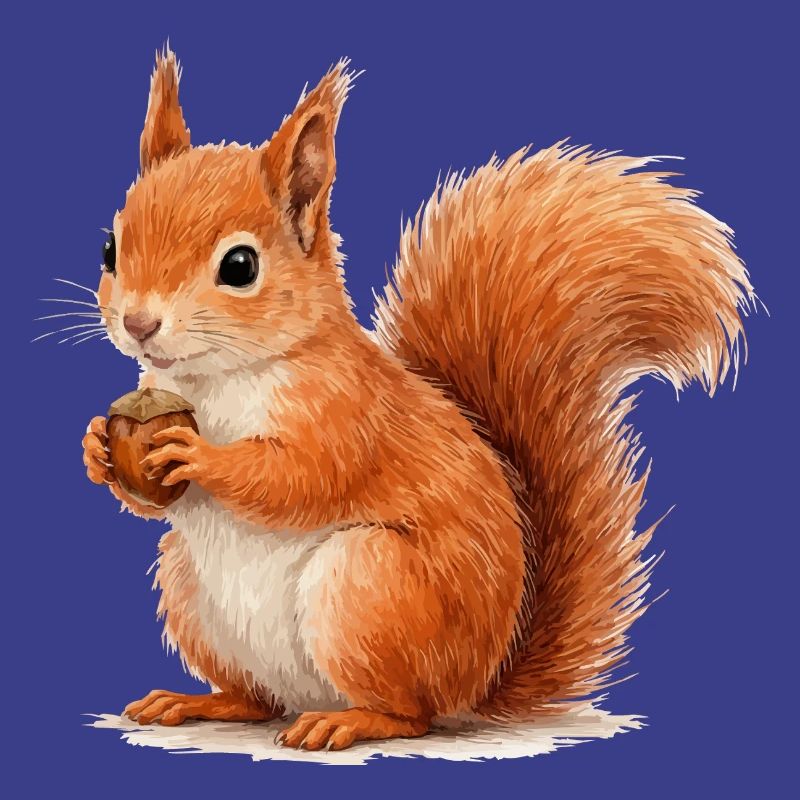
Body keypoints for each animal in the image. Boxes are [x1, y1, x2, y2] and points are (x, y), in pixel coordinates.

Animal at [81, 48, 754, 751]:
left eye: (240, 266)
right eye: (110, 247)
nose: (138, 323)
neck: (216, 379)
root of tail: (477, 686)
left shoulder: (348, 411)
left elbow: (300, 478)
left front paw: (200, 455)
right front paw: (97, 448)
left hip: (370, 587)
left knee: (411, 714)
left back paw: (348, 720)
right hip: (189, 588)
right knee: (256, 699)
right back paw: (199, 701)